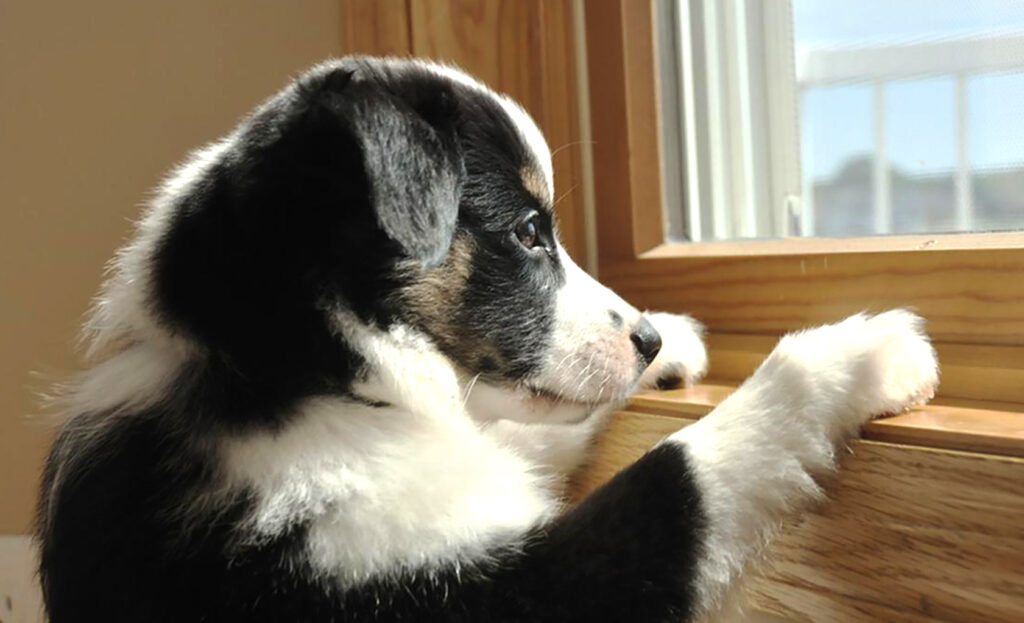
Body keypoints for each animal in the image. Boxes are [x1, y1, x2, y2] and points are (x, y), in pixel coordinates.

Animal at [36, 55, 937, 618]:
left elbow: (532, 430)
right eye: (531, 232)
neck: (308, 378)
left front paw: (676, 343)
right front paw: (863, 352)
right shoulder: (476, 586)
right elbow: (682, 470)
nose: (646, 338)